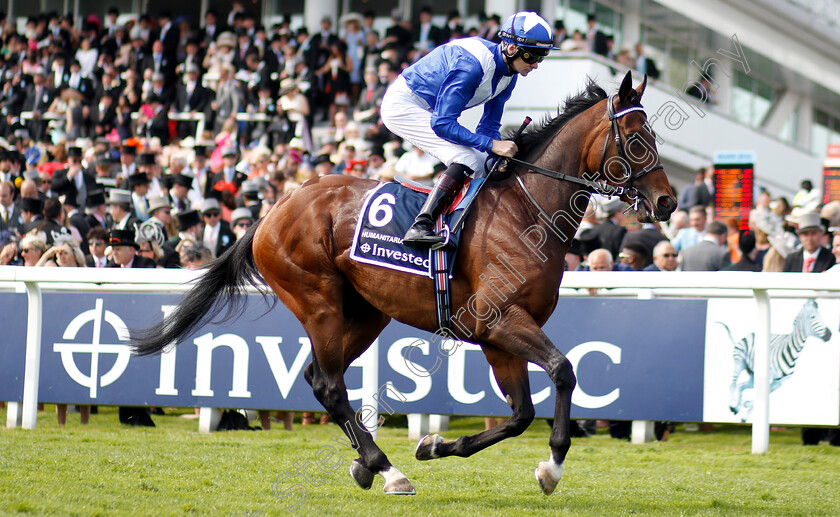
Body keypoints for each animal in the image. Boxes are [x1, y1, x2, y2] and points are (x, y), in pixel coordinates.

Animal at [135, 71, 680, 496]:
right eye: (637, 138)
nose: (668, 202)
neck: (529, 211)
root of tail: (277, 207)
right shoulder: (501, 321)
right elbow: (564, 372)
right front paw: (552, 467)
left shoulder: (498, 336)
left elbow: (521, 414)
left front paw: (435, 444)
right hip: (318, 301)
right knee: (329, 385)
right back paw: (386, 469)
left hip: (365, 313)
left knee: (318, 377)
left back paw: (365, 461)